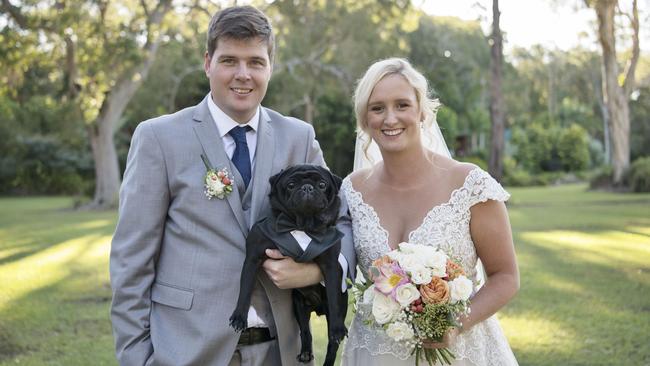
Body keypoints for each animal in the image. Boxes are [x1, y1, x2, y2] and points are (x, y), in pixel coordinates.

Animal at [230, 165, 346, 366]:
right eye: (291, 185)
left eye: (322, 185)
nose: (307, 188)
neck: (302, 226)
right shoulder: (253, 258)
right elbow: (245, 289)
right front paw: (239, 316)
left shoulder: (332, 267)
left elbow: (334, 297)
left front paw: (338, 328)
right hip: (298, 306)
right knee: (305, 331)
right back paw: (306, 353)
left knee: (332, 344)